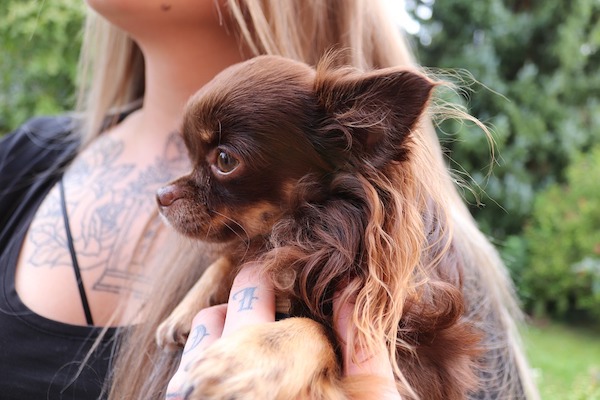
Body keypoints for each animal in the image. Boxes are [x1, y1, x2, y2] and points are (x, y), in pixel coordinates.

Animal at [156, 54, 482, 400]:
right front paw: (187, 307)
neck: (301, 235)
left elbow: (317, 328)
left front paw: (243, 359)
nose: (160, 195)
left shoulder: (414, 357)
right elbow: (230, 257)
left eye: (224, 160)